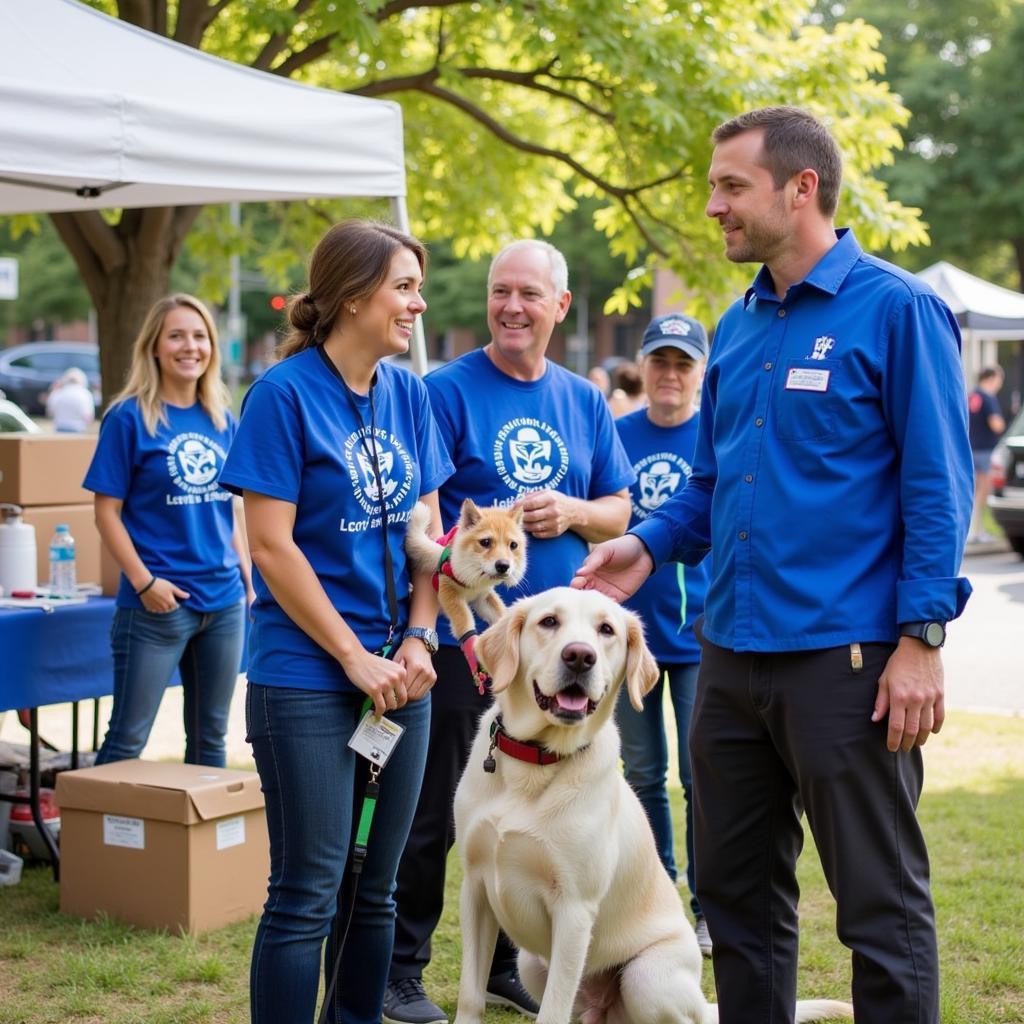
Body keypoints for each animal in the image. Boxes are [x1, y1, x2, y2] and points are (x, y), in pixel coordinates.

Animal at [403, 497, 528, 679]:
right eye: (485, 542)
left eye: (513, 545)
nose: (503, 566)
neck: (475, 581)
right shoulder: (449, 592)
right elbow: (465, 623)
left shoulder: (483, 597)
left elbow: (500, 615)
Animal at [452, 589, 851, 1024]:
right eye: (549, 622)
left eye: (606, 629)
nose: (580, 657)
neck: (536, 764)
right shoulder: (474, 889)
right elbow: (471, 994)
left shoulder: (574, 910)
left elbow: (552, 1012)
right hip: (532, 965)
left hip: (646, 978)